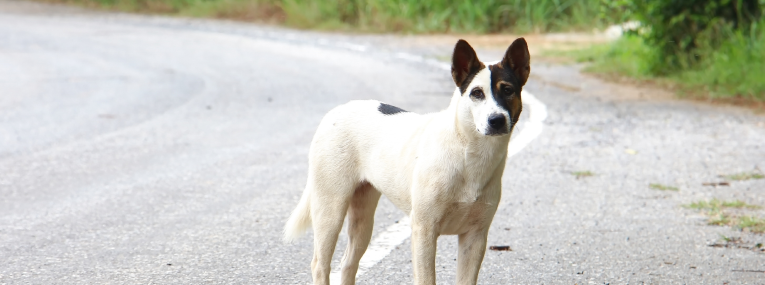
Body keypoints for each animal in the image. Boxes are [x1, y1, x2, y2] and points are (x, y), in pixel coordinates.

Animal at [284, 38, 528, 284]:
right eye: (477, 93)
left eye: (508, 90)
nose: (496, 120)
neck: (468, 152)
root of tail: (333, 113)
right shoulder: (424, 230)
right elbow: (426, 278)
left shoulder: (475, 237)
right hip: (330, 211)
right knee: (320, 265)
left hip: (363, 219)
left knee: (347, 264)